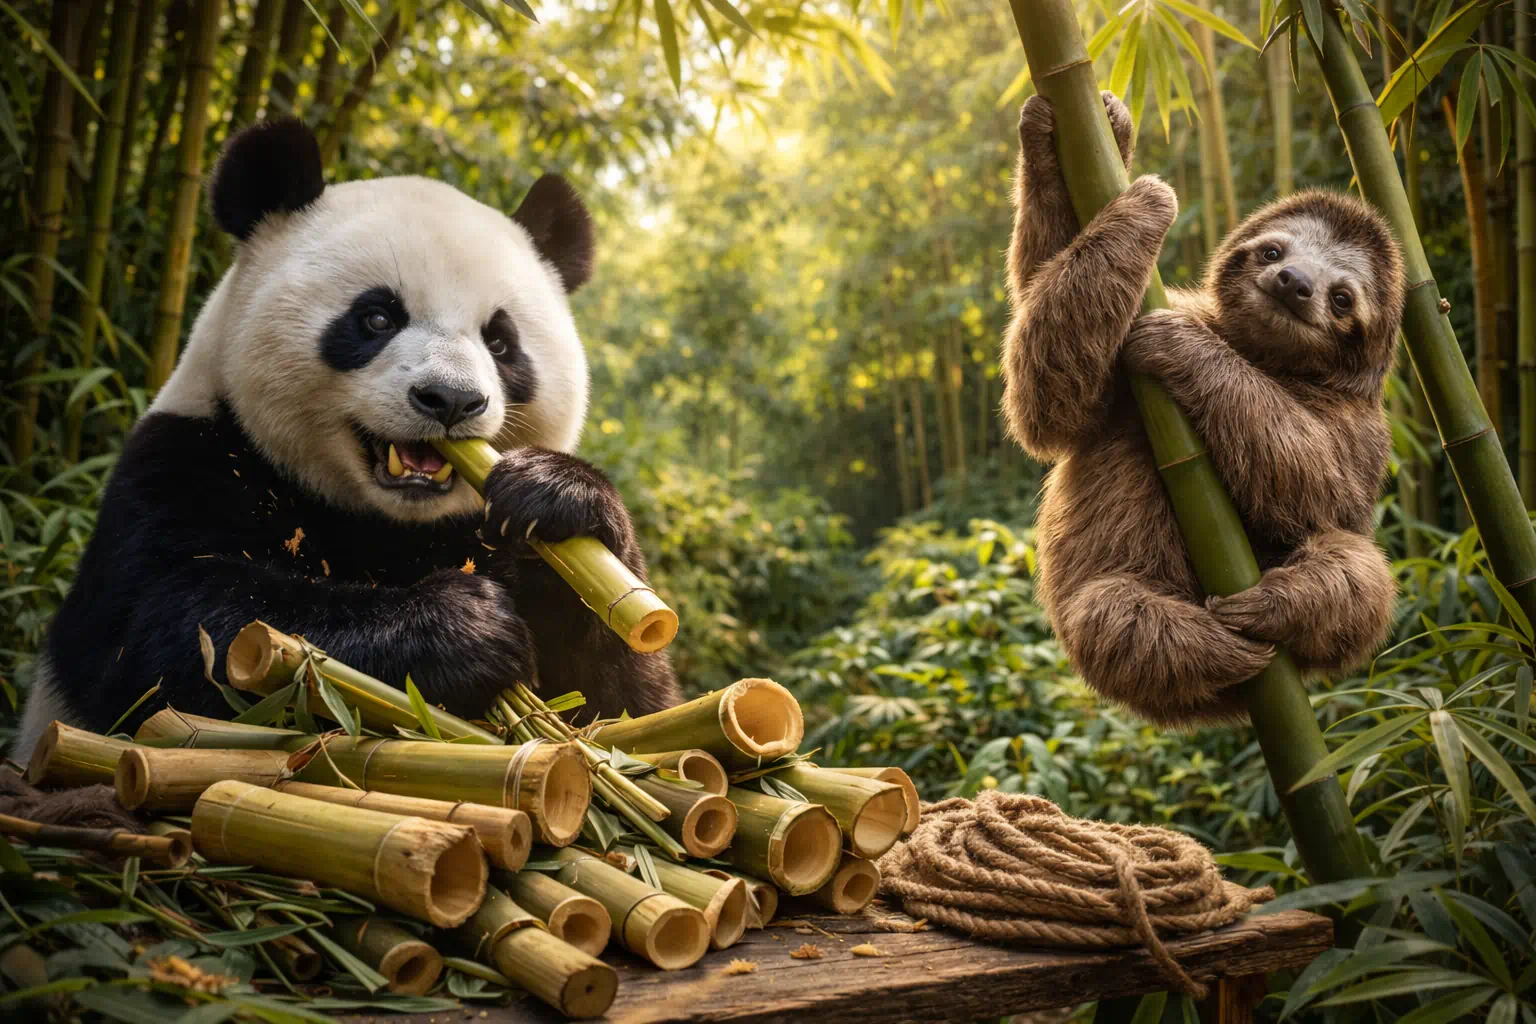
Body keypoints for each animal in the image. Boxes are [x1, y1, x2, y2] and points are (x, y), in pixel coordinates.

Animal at [13, 117, 682, 761]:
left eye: (499, 340)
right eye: (377, 317)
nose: (451, 399)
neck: (391, 522)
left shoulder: (479, 531)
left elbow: (627, 708)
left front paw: (559, 495)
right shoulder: (183, 465)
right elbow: (178, 634)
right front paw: (464, 628)